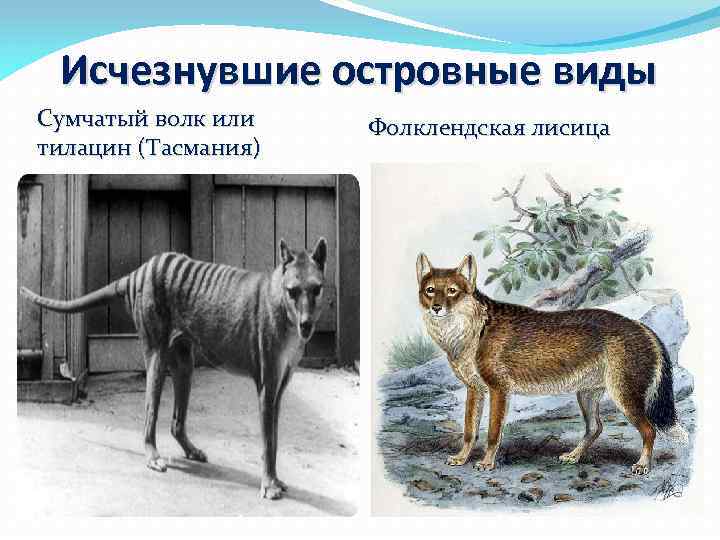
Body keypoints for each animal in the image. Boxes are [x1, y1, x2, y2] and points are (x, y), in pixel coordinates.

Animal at [21, 237, 327, 500]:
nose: (307, 325)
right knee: (150, 413)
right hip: (157, 357)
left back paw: (190, 450)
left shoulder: (277, 390)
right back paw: (152, 455)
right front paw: (268, 484)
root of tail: (139, 272)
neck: (281, 305)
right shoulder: (266, 387)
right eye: (292, 291)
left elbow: (274, 440)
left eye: (316, 289)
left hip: (184, 364)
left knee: (176, 422)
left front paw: (274, 480)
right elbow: (267, 443)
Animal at [416, 252, 688, 475]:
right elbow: (469, 431)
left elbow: (492, 434)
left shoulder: (498, 390)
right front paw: (461, 459)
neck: (473, 331)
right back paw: (574, 456)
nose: (437, 308)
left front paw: (487, 463)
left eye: (452, 291)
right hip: (587, 395)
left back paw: (642, 465)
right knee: (595, 428)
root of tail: (643, 327)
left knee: (649, 430)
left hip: (623, 397)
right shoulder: (474, 390)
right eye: (430, 290)